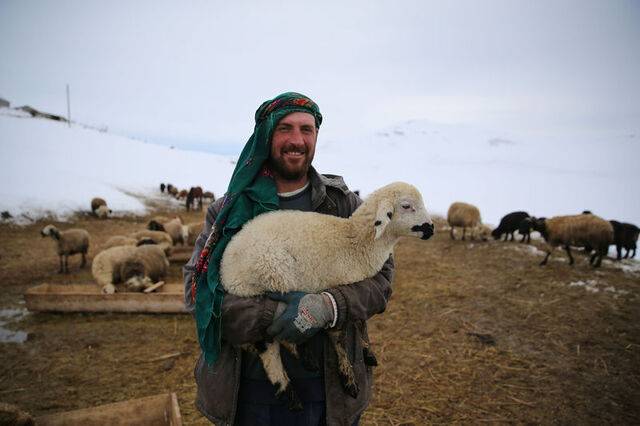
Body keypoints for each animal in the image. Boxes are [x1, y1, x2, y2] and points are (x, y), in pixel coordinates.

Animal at [220, 181, 436, 406]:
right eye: (406, 206)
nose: (431, 228)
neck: (354, 241)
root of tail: (225, 268)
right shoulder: (334, 287)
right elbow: (339, 337)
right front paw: (348, 378)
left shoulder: (352, 288)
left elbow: (360, 321)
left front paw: (368, 352)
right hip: (271, 278)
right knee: (269, 343)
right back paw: (291, 384)